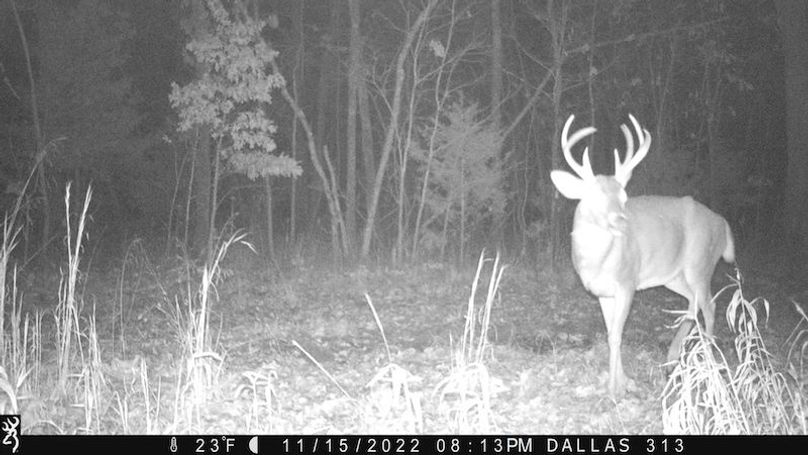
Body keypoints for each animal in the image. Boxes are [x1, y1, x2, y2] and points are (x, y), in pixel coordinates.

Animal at [549, 114, 735, 398]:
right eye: (593, 196)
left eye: (624, 196)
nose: (622, 221)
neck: (597, 262)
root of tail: (723, 223)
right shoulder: (602, 292)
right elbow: (610, 333)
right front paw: (621, 381)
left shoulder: (627, 282)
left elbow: (616, 334)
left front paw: (615, 389)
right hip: (673, 276)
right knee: (692, 303)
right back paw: (672, 358)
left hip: (701, 263)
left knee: (710, 306)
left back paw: (710, 364)